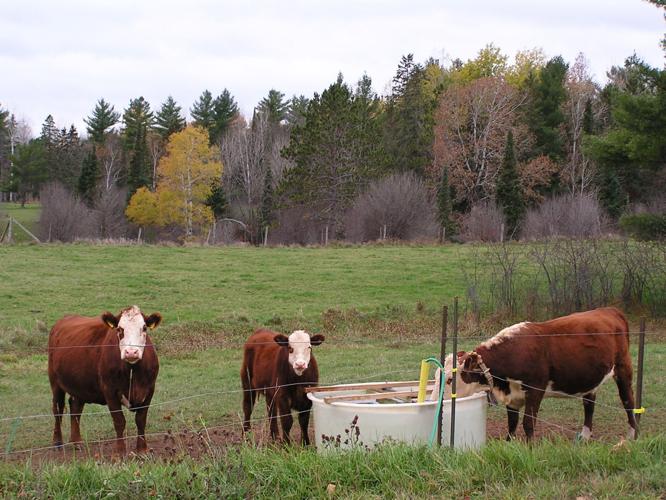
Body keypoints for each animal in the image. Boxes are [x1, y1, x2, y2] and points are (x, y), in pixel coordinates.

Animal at [48, 306, 162, 454]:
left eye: (144, 328)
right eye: (119, 329)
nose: (131, 352)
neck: (133, 372)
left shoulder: (149, 390)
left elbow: (141, 420)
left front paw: (142, 450)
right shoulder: (110, 391)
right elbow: (119, 421)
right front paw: (119, 453)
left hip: (79, 384)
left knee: (75, 407)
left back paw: (76, 442)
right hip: (55, 382)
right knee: (58, 408)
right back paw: (57, 442)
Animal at [440, 307, 637, 441]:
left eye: (450, 379)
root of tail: (610, 310)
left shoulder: (535, 389)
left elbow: (528, 423)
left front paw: (530, 449)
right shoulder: (512, 395)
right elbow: (512, 423)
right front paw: (509, 444)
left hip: (623, 368)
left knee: (628, 401)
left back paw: (632, 436)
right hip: (590, 378)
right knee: (589, 405)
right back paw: (584, 436)